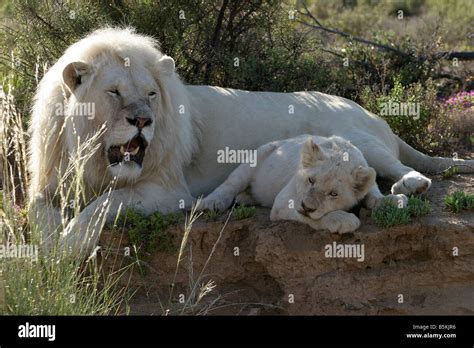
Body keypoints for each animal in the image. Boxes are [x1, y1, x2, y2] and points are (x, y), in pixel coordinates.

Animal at [202, 136, 406, 234]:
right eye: (311, 180)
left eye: (333, 194)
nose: (307, 206)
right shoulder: (283, 202)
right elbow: (310, 218)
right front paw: (342, 220)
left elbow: (373, 192)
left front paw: (393, 200)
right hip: (255, 158)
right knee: (230, 184)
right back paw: (210, 203)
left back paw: (245, 198)